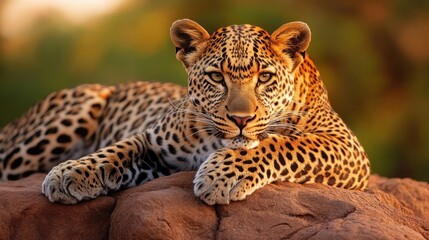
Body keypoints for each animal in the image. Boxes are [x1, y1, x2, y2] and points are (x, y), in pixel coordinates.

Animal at [0, 18, 368, 204]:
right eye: (216, 77)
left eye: (264, 77)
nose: (241, 119)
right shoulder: (154, 142)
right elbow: (116, 150)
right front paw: (69, 174)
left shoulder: (346, 147)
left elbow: (282, 144)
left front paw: (220, 177)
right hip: (79, 104)